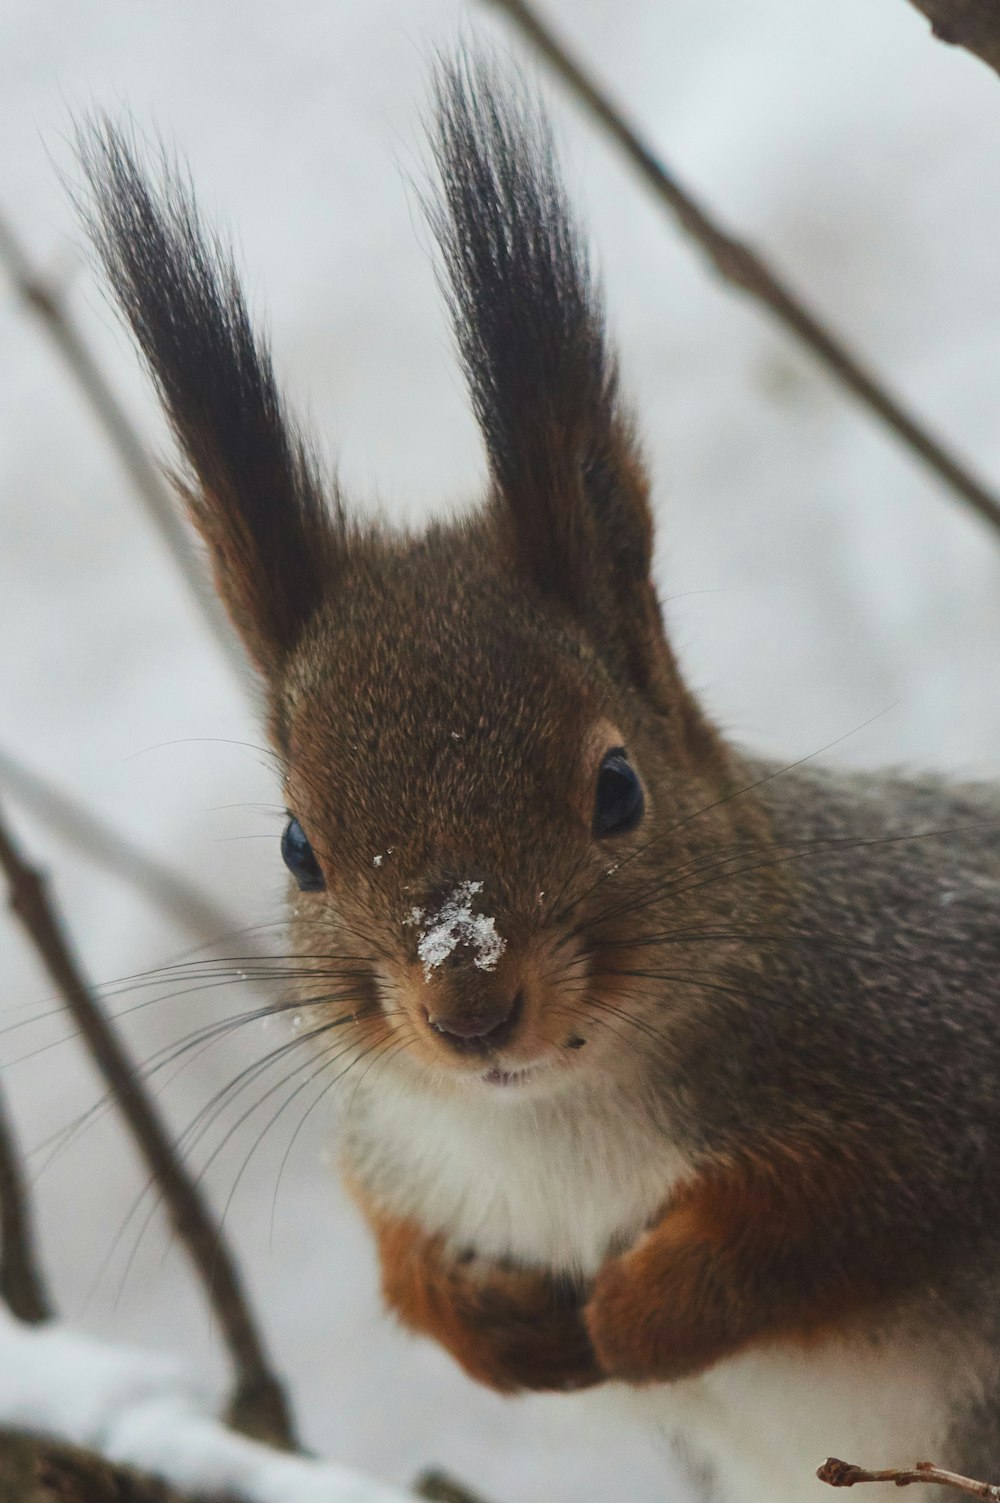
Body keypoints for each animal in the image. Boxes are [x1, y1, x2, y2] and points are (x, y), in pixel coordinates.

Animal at [80, 52, 1000, 1503]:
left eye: (617, 787)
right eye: (297, 844)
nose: (468, 1007)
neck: (550, 1124)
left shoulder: (931, 1046)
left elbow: (841, 1214)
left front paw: (637, 1312)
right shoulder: (397, 1146)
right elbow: (395, 1244)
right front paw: (490, 1320)